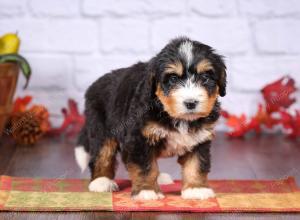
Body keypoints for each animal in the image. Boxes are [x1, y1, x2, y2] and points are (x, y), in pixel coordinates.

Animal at [75, 37, 227, 200]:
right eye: (173, 79)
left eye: (205, 78)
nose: (191, 103)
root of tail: (94, 86)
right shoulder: (139, 137)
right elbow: (145, 166)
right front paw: (146, 190)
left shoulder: (199, 138)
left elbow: (197, 163)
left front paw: (196, 188)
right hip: (101, 128)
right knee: (102, 154)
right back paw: (101, 181)